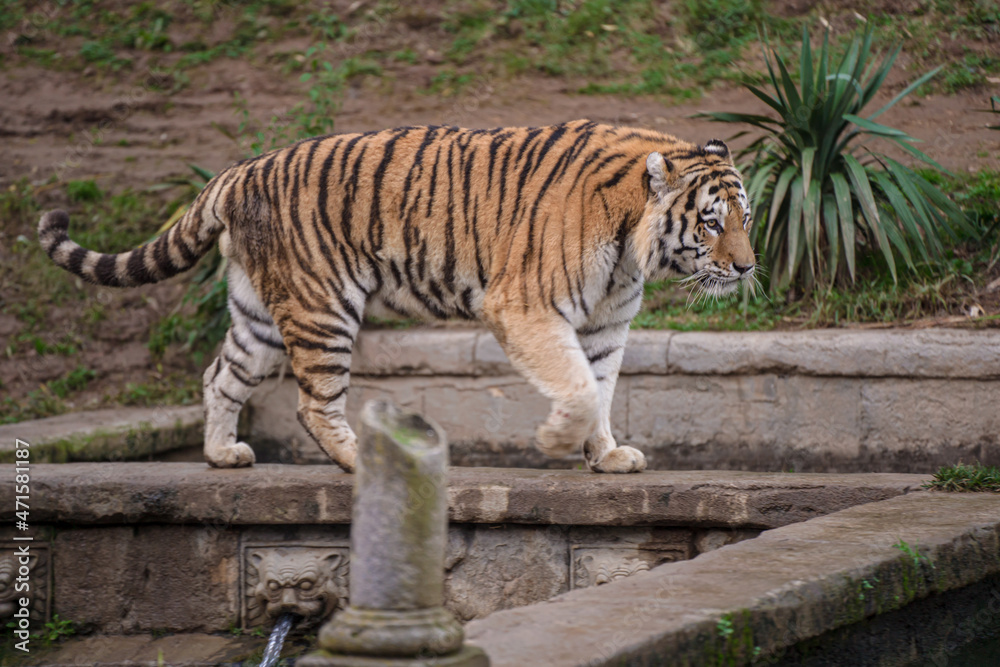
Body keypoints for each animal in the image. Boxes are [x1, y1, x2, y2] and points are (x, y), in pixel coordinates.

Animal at [38, 119, 756, 474]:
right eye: (711, 222)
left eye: (747, 218)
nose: (748, 267)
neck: (633, 245)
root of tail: (239, 170)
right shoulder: (525, 307)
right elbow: (577, 388)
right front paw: (557, 441)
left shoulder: (606, 325)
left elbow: (600, 389)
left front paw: (607, 457)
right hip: (322, 307)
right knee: (313, 403)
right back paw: (362, 462)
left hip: (258, 315)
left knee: (221, 375)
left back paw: (222, 455)